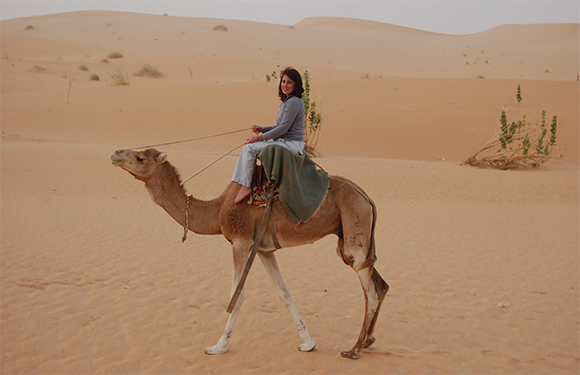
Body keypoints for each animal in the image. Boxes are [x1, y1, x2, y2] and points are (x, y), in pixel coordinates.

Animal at [109, 148, 390, 360]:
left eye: (140, 157)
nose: (115, 154)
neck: (216, 209)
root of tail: (367, 199)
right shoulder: (264, 250)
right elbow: (284, 293)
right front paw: (308, 342)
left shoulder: (240, 242)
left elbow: (237, 296)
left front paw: (218, 346)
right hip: (351, 239)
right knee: (381, 283)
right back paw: (368, 340)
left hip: (355, 231)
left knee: (370, 289)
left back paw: (354, 349)